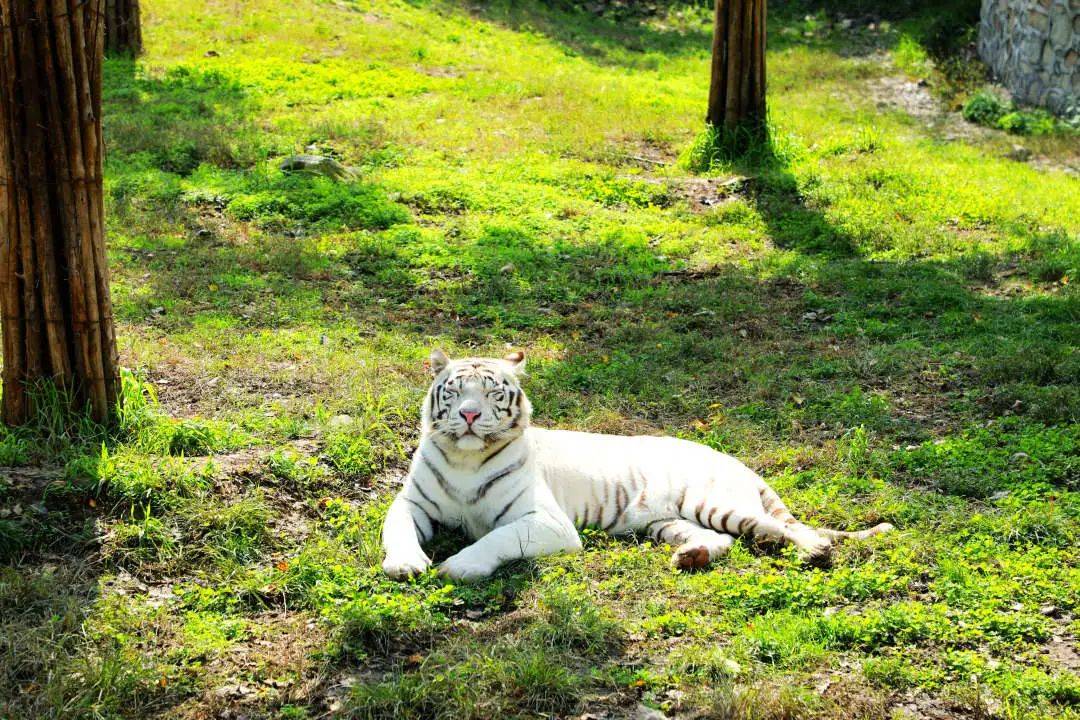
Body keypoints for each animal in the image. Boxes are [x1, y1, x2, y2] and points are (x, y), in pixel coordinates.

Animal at [382, 351, 894, 582]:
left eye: (492, 392)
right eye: (454, 391)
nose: (469, 415)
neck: (465, 459)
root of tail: (735, 460)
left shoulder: (545, 521)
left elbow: (497, 538)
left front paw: (456, 566)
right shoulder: (410, 503)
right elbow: (397, 529)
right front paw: (406, 563)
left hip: (716, 501)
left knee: (786, 527)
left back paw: (813, 551)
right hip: (666, 521)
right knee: (724, 539)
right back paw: (692, 556)